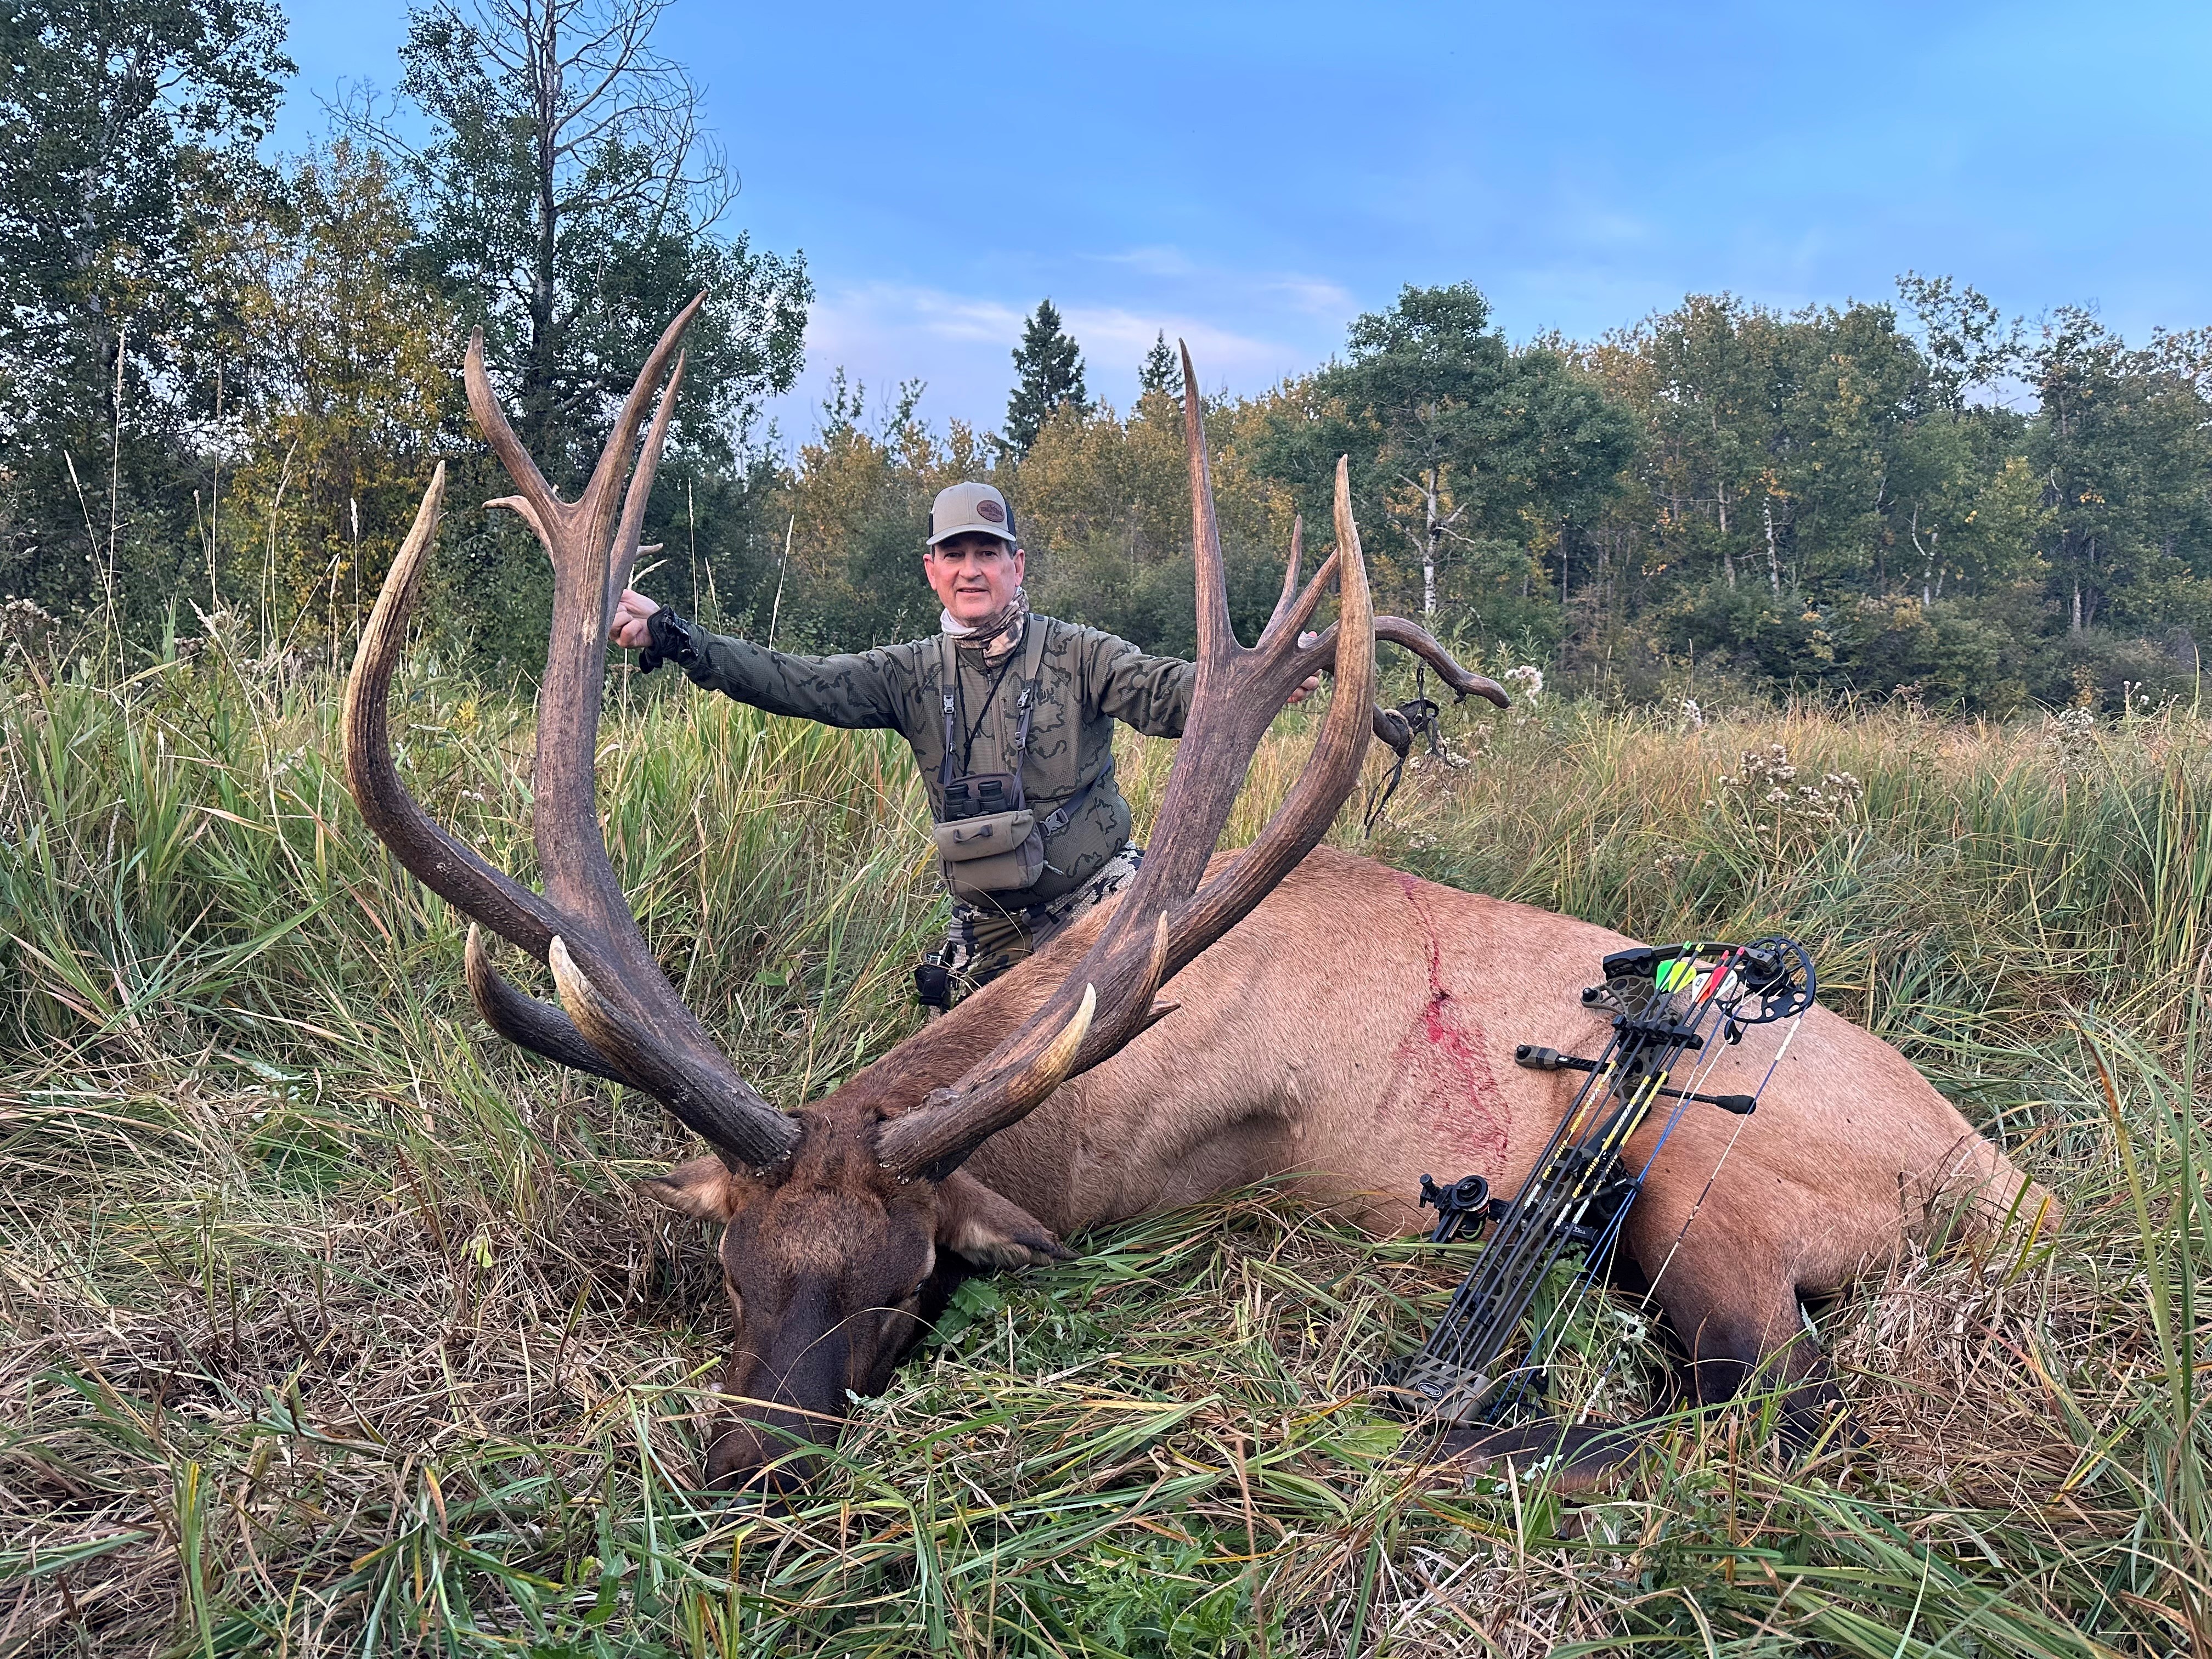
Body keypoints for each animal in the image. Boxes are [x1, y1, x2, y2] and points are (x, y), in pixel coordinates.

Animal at [344, 299, 2053, 1492]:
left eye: (906, 1288)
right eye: (729, 1269)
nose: (749, 1469)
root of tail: (2013, 1192)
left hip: (1702, 1177)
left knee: (1782, 1407)